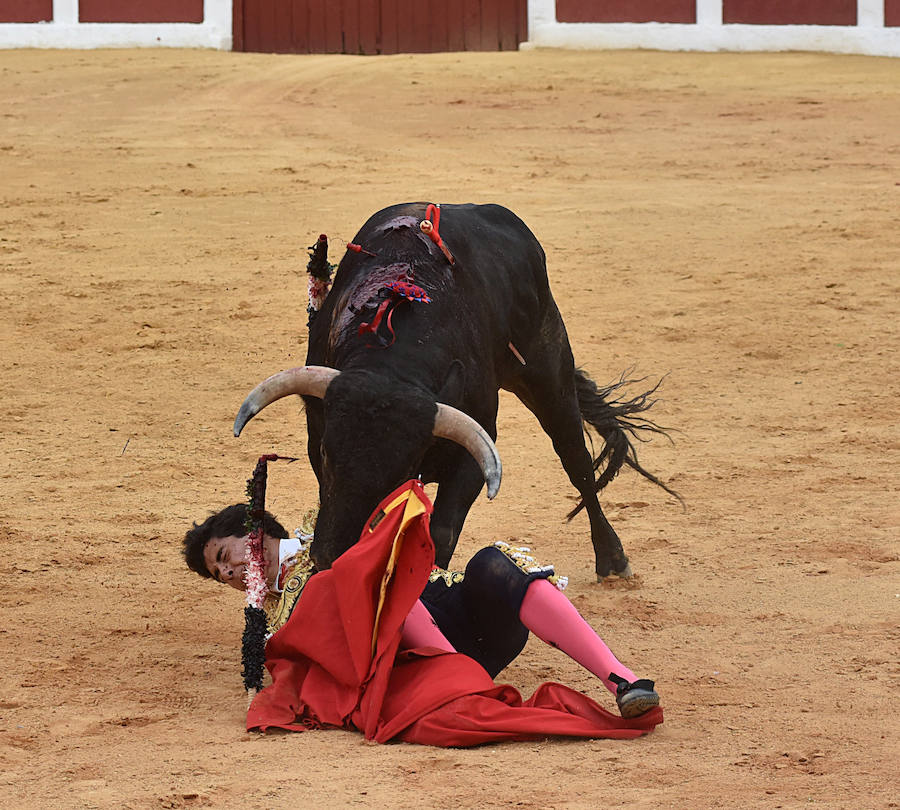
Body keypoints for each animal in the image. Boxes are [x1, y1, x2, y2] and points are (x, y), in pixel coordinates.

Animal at [236, 204, 672, 580]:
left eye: (402, 471)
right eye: (327, 453)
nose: (332, 557)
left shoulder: (475, 455)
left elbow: (442, 531)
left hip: (549, 371)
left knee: (577, 461)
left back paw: (613, 558)